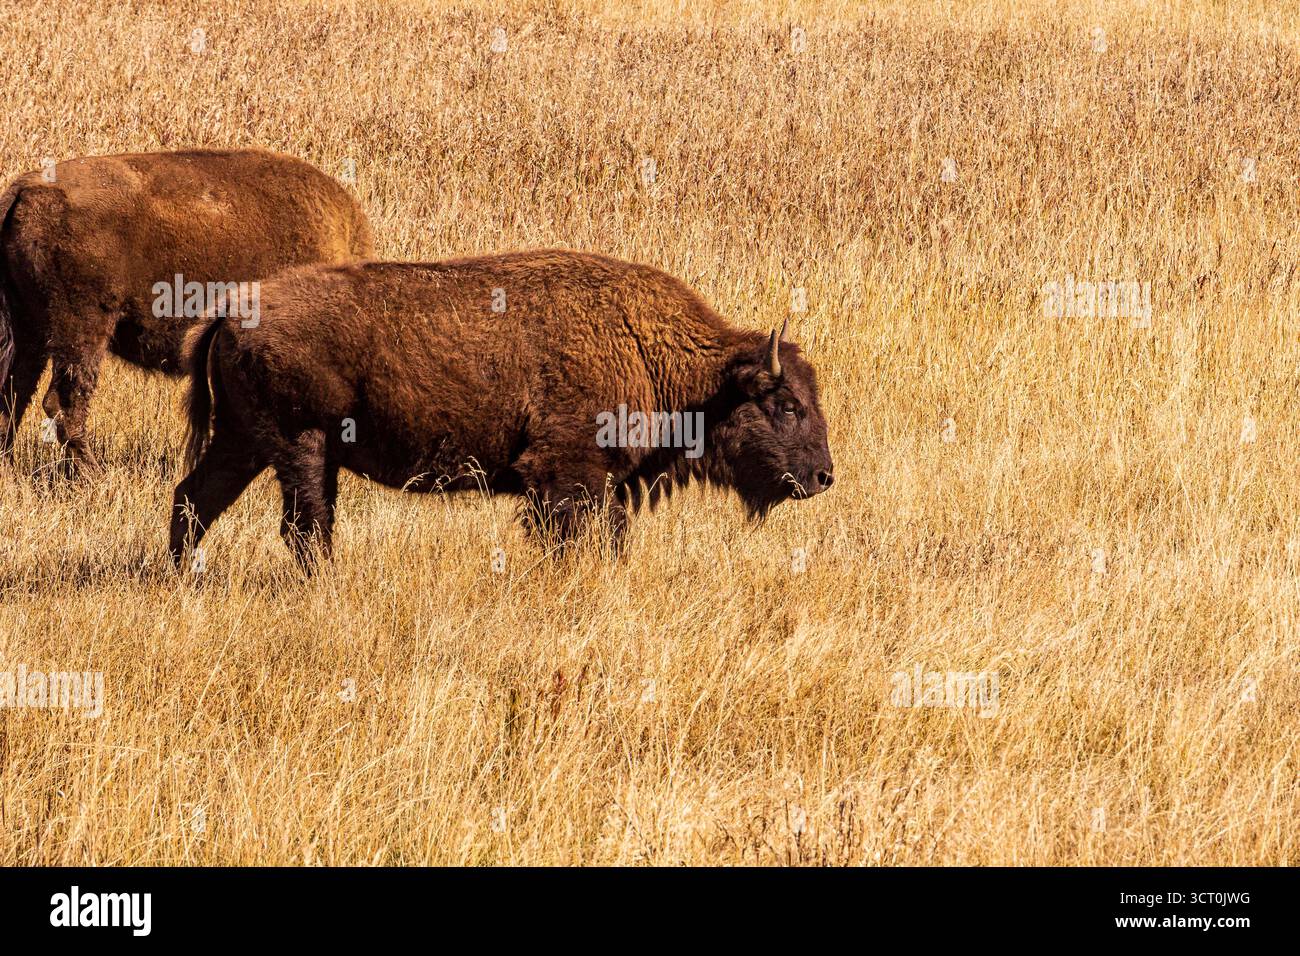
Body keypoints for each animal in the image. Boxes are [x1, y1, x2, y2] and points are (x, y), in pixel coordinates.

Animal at [0, 148, 373, 474]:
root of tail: (26, 189)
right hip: (82, 328)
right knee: (64, 401)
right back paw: (93, 477)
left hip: (32, 330)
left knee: (14, 393)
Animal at [169, 250, 833, 569]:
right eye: (786, 405)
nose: (824, 476)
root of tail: (231, 311)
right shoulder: (566, 475)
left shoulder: (607, 486)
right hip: (300, 442)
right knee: (305, 525)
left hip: (245, 441)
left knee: (195, 498)